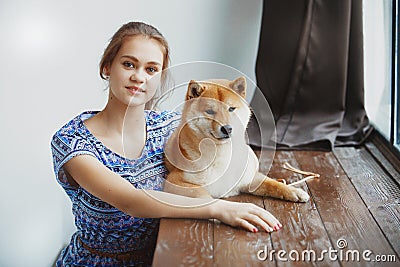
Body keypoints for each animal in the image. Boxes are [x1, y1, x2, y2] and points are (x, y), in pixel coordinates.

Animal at [162, 76, 310, 203]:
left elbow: (272, 184)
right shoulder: (174, 181)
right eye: (210, 111)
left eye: (231, 109)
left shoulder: (250, 179)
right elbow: (202, 195)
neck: (222, 155)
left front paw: (294, 191)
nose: (227, 128)